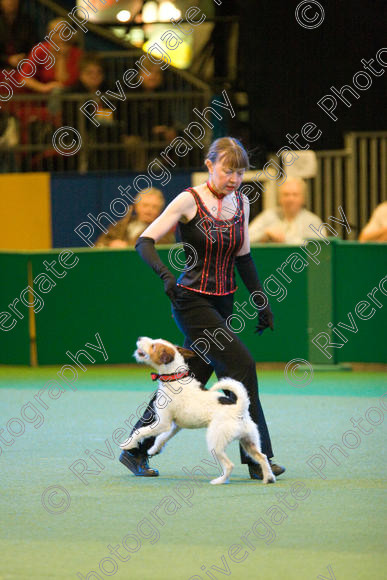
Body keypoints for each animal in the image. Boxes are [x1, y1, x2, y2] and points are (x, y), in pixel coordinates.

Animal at [121, 336, 276, 484]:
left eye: (153, 346)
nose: (139, 338)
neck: (174, 378)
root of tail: (239, 408)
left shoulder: (163, 423)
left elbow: (141, 431)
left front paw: (128, 443)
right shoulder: (175, 426)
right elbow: (161, 438)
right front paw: (154, 449)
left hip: (215, 443)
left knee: (229, 465)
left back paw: (219, 481)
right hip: (249, 441)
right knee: (262, 457)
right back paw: (268, 478)